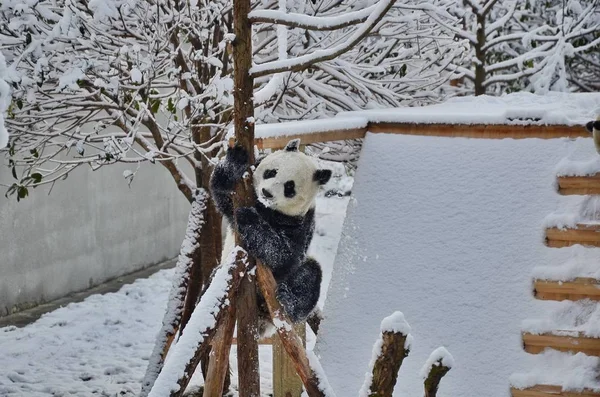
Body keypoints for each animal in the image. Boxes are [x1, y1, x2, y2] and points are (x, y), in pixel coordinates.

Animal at [210, 138, 332, 330]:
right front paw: (235, 161)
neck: (267, 208)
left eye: (289, 187)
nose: (266, 193)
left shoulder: (300, 223)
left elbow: (282, 256)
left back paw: (288, 301)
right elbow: (222, 193)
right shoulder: (243, 196)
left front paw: (248, 217)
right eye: (271, 172)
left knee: (310, 275)